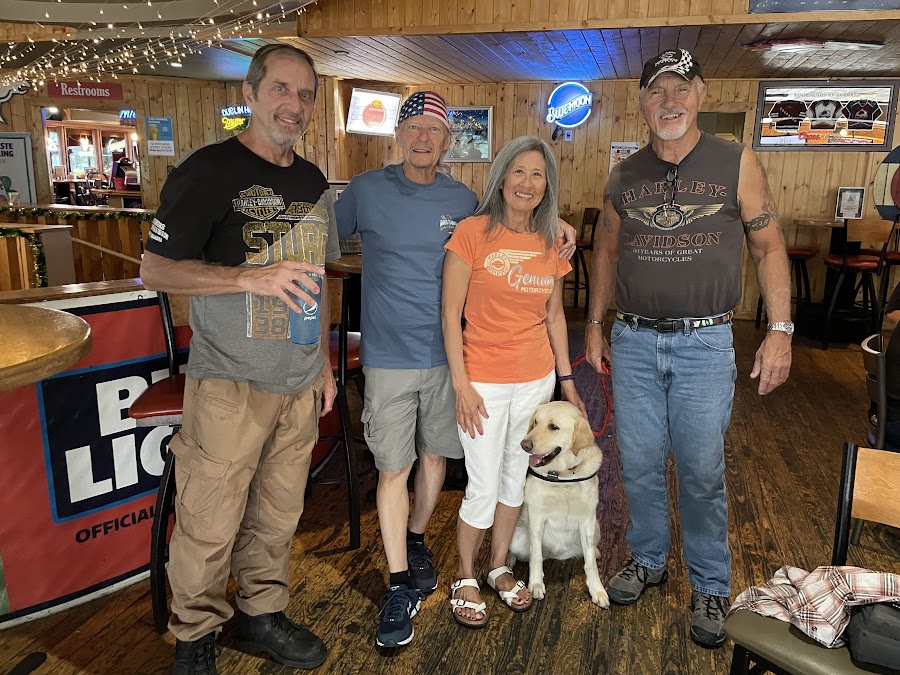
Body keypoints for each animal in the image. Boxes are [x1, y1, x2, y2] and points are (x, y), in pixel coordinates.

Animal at [508, 401, 609, 608]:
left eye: (553, 427)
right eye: (535, 422)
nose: (524, 445)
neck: (562, 477)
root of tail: (555, 555)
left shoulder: (587, 520)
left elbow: (590, 564)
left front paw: (597, 590)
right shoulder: (537, 518)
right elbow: (536, 556)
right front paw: (536, 584)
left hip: (597, 528)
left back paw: (595, 551)